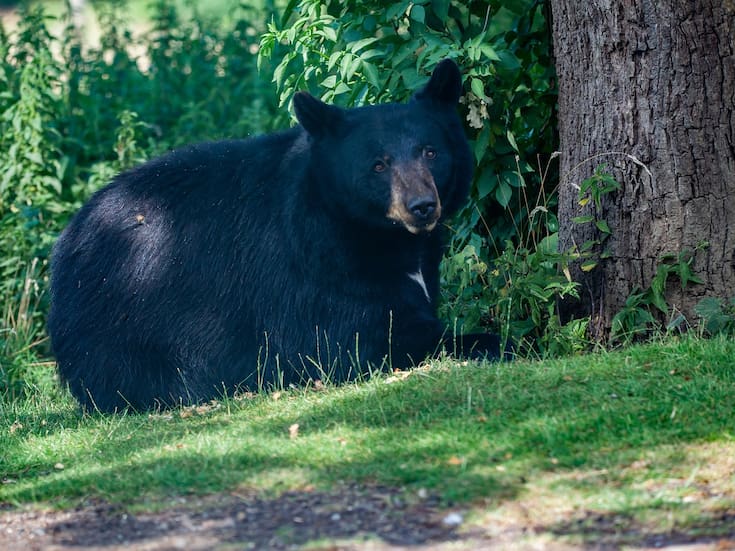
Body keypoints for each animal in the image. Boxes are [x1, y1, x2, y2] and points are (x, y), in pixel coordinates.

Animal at [47, 58, 502, 412]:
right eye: (378, 164)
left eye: (431, 151)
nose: (422, 206)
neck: (378, 235)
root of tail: (67, 240)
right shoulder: (316, 267)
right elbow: (361, 337)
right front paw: (491, 341)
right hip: (126, 315)